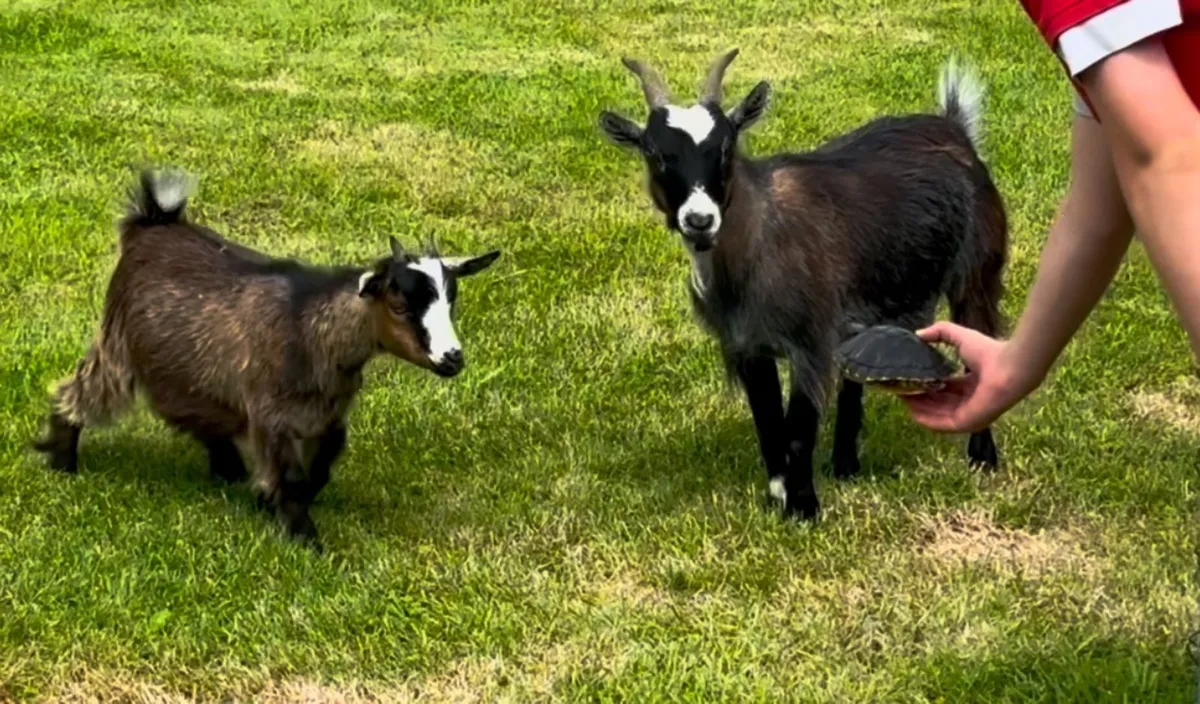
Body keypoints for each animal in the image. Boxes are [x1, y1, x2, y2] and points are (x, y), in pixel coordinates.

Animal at [32, 169, 501, 550]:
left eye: (451, 300)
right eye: (400, 305)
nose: (452, 358)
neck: (310, 327)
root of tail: (152, 223)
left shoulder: (328, 415)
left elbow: (319, 470)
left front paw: (268, 500)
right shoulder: (271, 413)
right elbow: (291, 478)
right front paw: (305, 539)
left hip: (185, 366)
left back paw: (228, 469)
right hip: (117, 345)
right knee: (80, 389)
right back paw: (61, 458)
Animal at [598, 50, 1008, 520]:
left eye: (725, 147)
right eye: (654, 153)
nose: (699, 219)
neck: (758, 239)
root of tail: (956, 129)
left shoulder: (809, 342)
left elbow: (799, 427)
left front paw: (804, 508)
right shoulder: (749, 347)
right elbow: (768, 423)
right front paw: (779, 493)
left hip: (976, 274)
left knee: (979, 348)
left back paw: (981, 458)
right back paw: (845, 465)